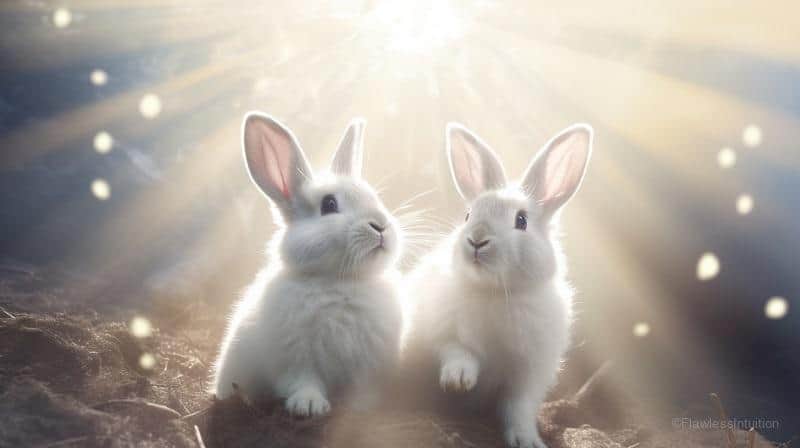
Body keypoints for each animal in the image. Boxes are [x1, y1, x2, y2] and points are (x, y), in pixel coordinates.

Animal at [212, 112, 404, 417]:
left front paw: (361, 408)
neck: (340, 280)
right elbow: (304, 381)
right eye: (329, 205)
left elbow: (363, 387)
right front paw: (308, 406)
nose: (380, 226)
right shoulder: (297, 357)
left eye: (375, 198)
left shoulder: (367, 363)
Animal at [406, 122, 593, 447]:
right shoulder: (438, 330)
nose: (477, 239)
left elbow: (518, 408)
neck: (494, 292)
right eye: (469, 215)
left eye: (521, 220)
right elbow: (456, 350)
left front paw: (528, 440)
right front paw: (459, 380)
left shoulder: (528, 374)